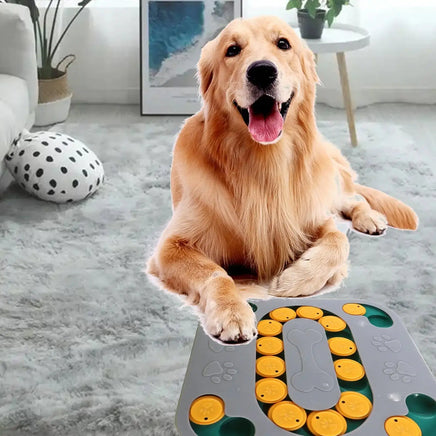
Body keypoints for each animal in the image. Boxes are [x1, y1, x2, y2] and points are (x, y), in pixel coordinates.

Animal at [147, 15, 418, 344]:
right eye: (232, 50)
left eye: (283, 44)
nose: (262, 71)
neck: (264, 164)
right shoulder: (171, 246)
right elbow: (214, 272)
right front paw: (231, 310)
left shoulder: (316, 216)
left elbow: (338, 240)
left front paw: (294, 279)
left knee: (354, 199)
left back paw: (370, 218)